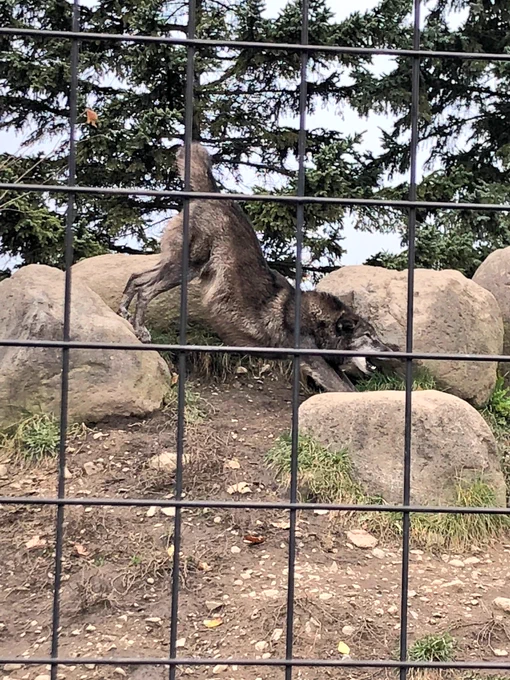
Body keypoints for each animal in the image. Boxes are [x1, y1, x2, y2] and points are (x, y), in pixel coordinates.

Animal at [118, 141, 390, 390]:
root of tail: (213, 195)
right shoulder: (314, 361)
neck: (319, 323)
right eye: (369, 336)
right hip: (185, 268)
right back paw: (141, 329)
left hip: (176, 265)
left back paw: (124, 314)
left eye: (376, 336)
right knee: (146, 290)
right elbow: (345, 388)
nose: (389, 351)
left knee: (136, 277)